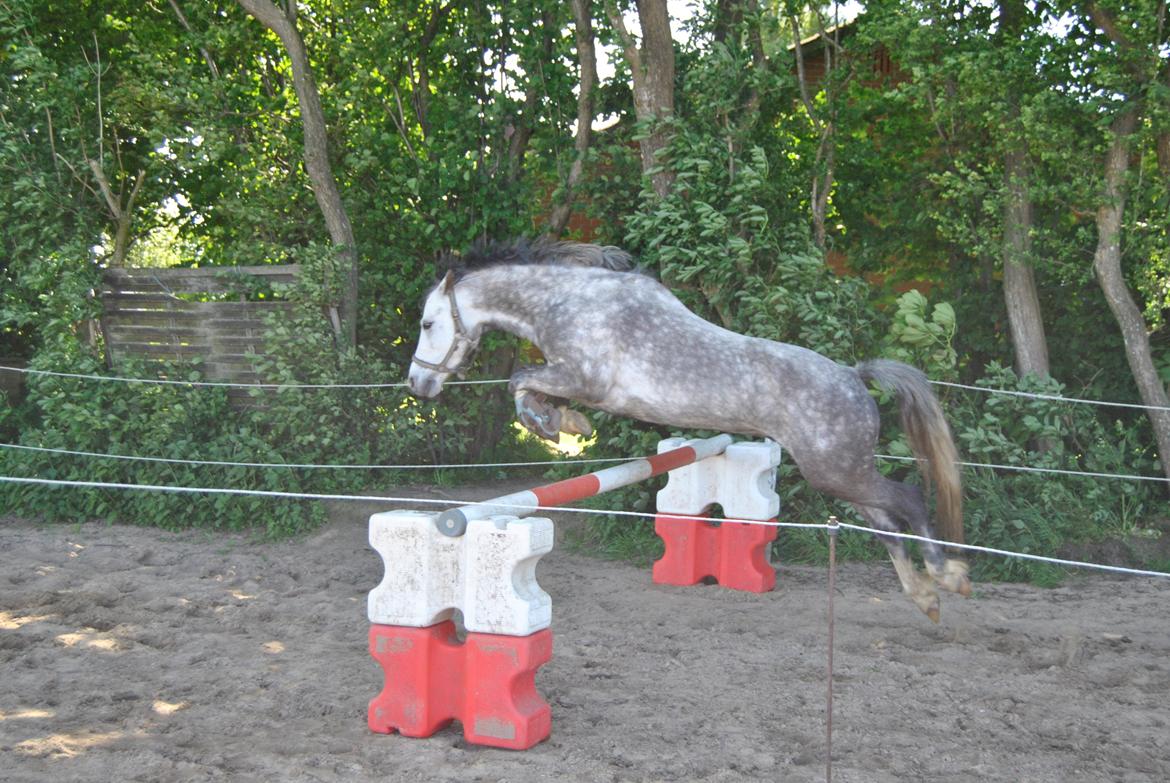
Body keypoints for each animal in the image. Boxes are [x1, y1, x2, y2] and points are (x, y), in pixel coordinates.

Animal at [406, 238, 971, 621]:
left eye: (429, 324)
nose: (418, 384)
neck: (570, 299)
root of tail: (854, 377)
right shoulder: (572, 376)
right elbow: (528, 386)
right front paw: (559, 421)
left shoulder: (585, 377)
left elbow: (520, 381)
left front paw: (556, 422)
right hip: (840, 475)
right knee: (886, 524)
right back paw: (924, 597)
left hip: (836, 469)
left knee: (908, 500)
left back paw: (950, 577)